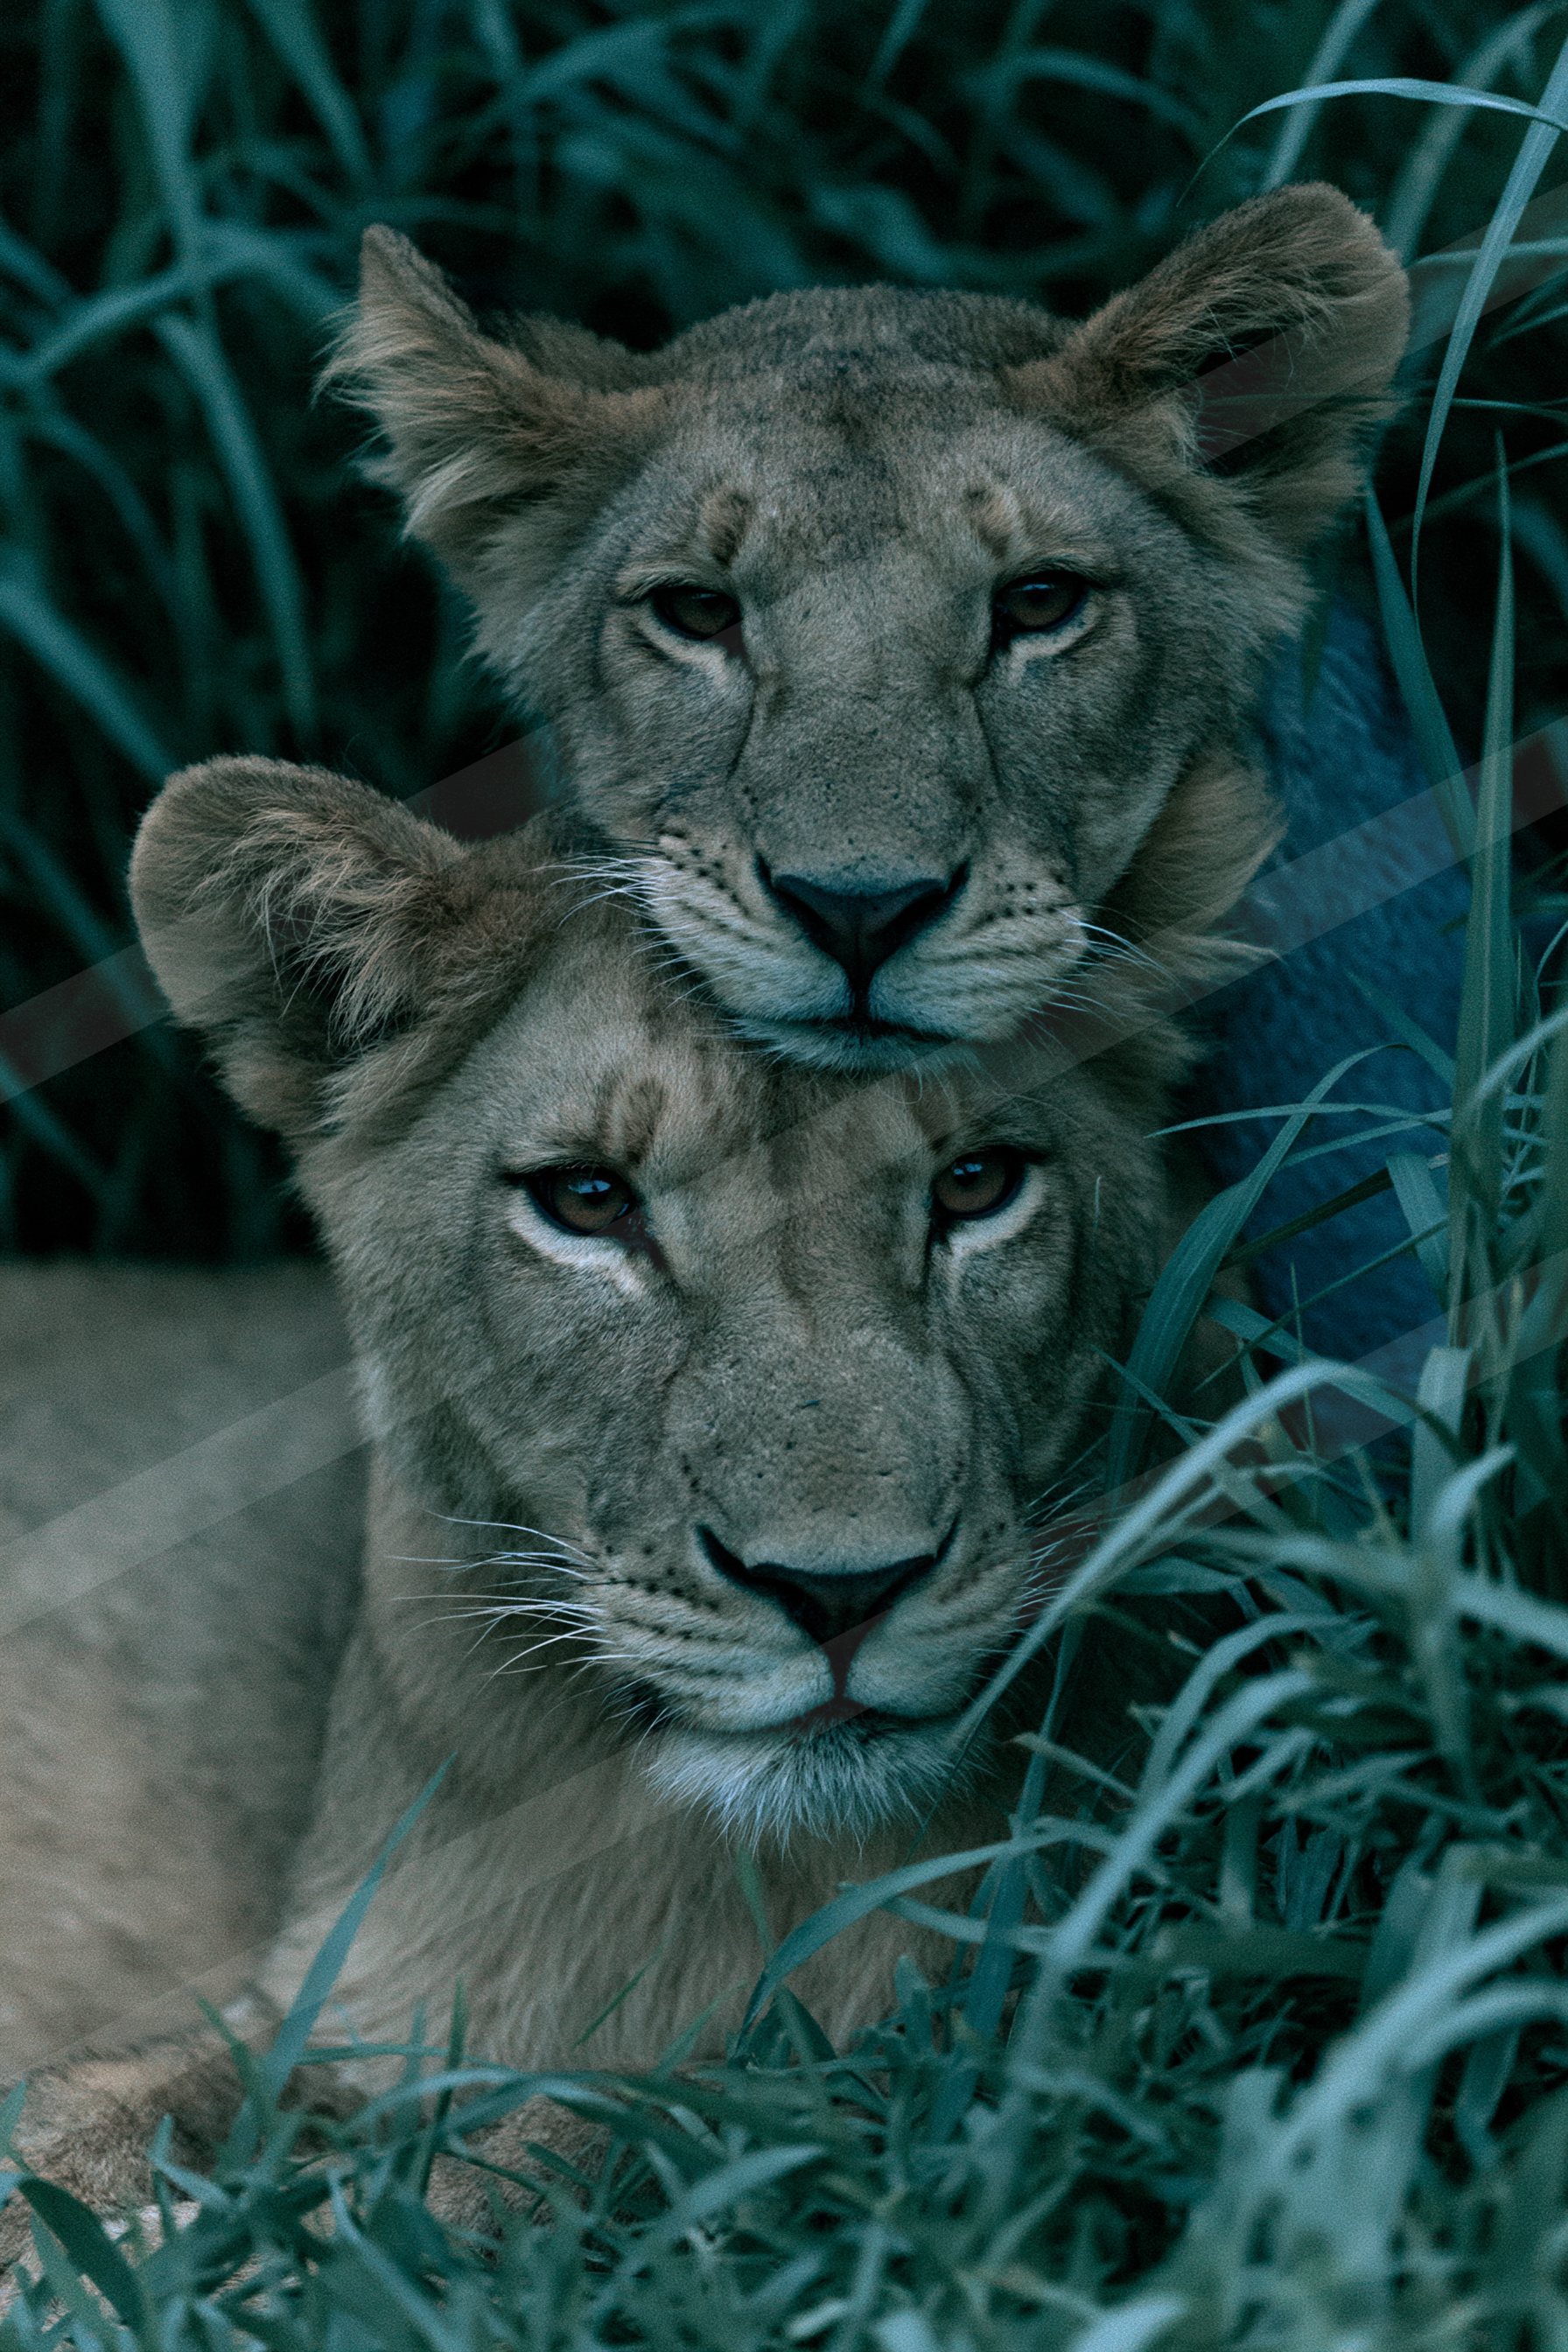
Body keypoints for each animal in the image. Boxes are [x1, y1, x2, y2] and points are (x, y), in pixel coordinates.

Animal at [1, 751, 1210, 2243]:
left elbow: (630, 2132)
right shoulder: (341, 2005)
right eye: (587, 1200)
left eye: (976, 1184)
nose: (843, 1594)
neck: (686, 1860)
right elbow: (138, 2107)